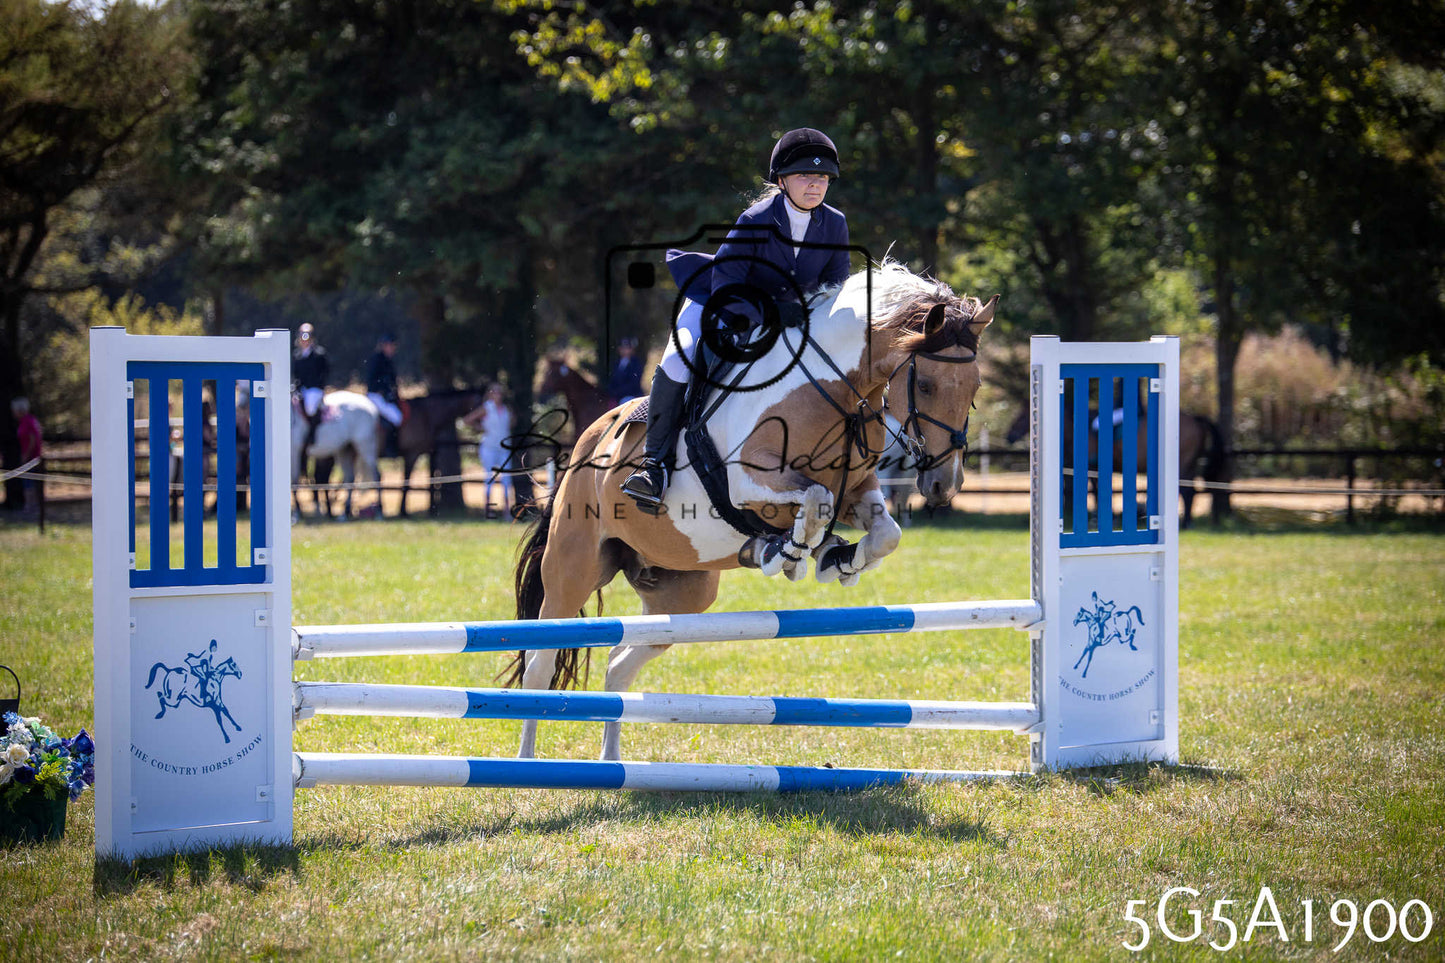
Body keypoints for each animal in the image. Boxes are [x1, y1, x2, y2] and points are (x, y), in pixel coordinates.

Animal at [291, 391, 381, 520]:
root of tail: (371, 406)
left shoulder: (295, 451)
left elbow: (293, 481)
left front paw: (297, 513)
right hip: (344, 450)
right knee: (350, 477)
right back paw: (346, 512)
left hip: (366, 446)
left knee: (376, 475)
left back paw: (378, 511)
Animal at [504, 262, 997, 761]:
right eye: (926, 384)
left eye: (975, 387)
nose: (945, 485)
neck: (833, 388)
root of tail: (589, 438)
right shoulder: (748, 481)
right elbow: (815, 500)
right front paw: (791, 554)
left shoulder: (858, 488)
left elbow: (884, 531)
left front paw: (839, 559)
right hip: (574, 568)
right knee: (540, 664)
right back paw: (527, 763)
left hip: (681, 594)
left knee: (620, 664)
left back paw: (612, 764)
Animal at [1005, 407, 1224, 528]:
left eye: (1024, 416)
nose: (1009, 436)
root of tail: (1196, 419)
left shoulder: (1093, 468)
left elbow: (1096, 493)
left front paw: (1098, 519)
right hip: (1189, 465)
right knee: (1190, 492)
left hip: (1183, 463)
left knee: (1187, 492)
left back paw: (1186, 524)